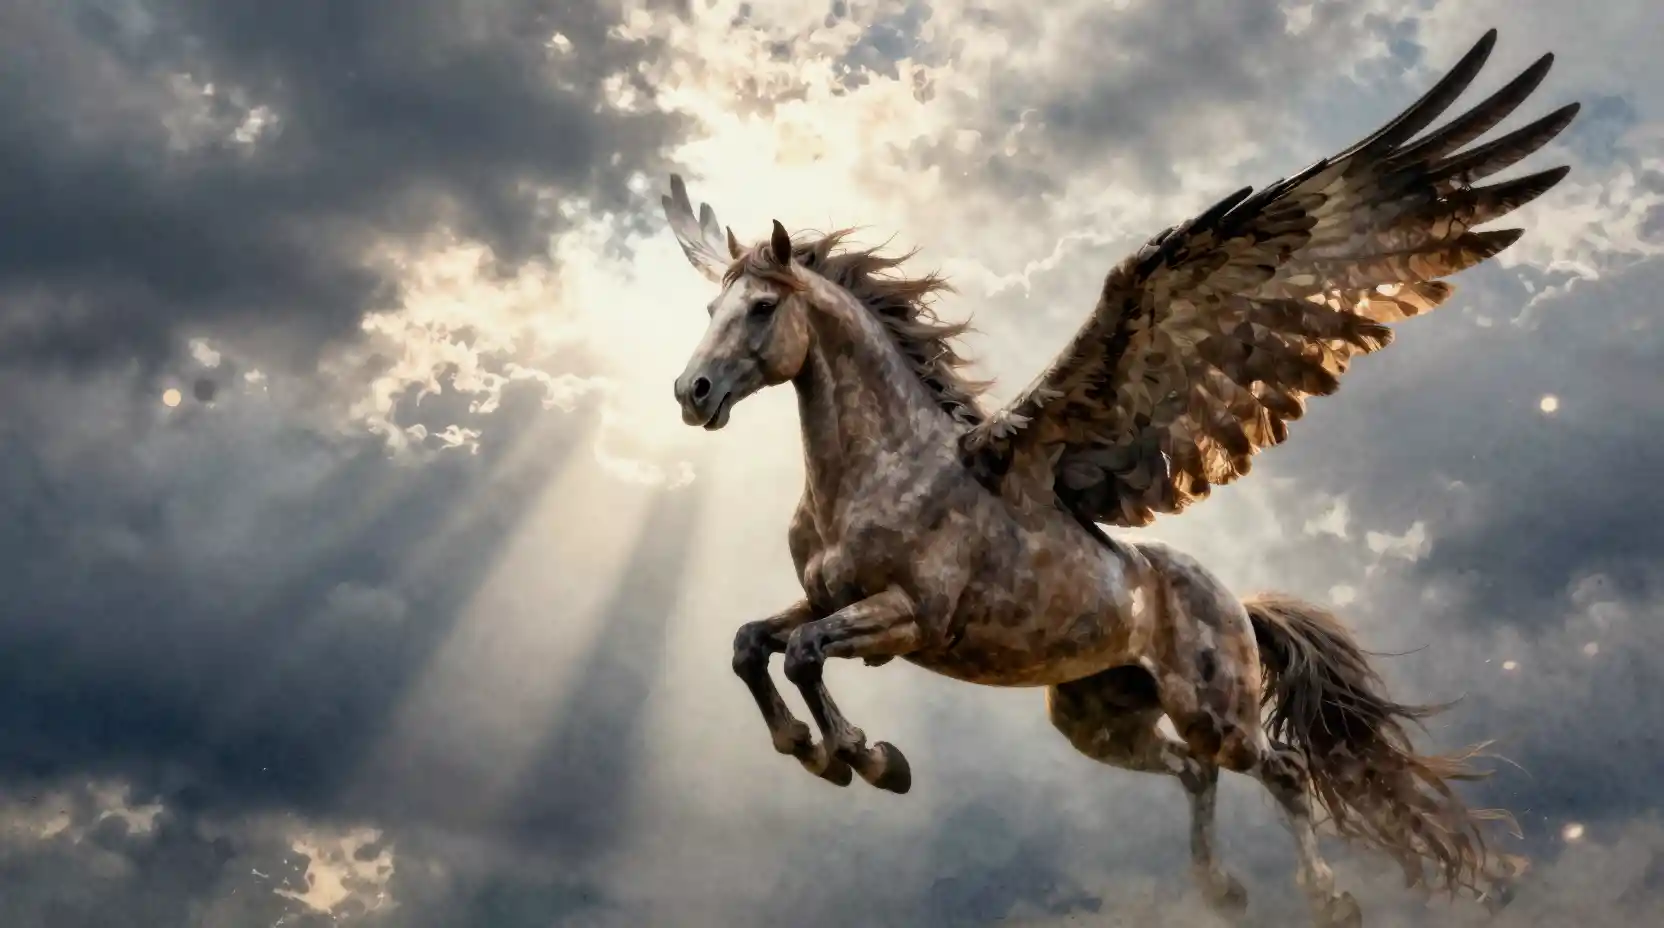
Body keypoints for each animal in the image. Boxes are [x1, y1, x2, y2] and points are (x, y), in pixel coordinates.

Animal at [660, 28, 1576, 927]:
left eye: (762, 309)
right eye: (709, 309)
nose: (690, 393)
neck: (875, 472)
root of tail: (1240, 605)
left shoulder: (906, 617)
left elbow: (804, 653)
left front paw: (866, 757)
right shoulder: (824, 597)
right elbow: (753, 645)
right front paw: (823, 751)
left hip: (1213, 708)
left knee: (1277, 768)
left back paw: (1330, 899)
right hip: (1096, 717)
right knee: (1194, 771)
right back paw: (1221, 891)